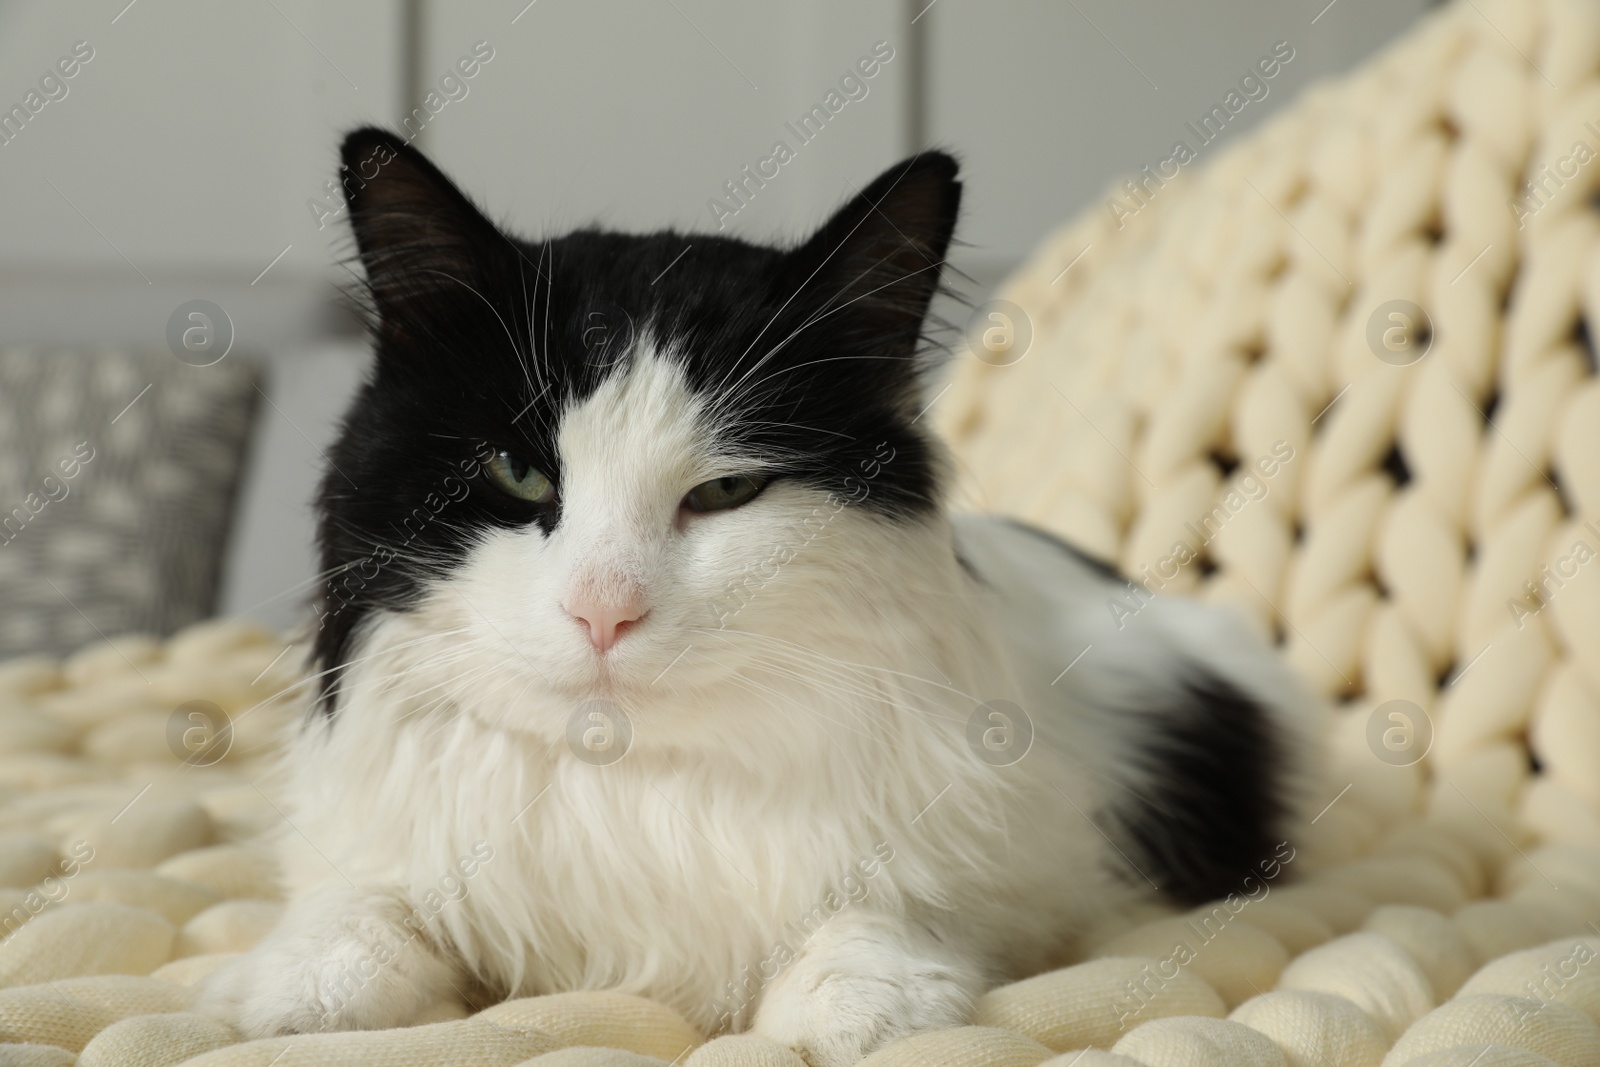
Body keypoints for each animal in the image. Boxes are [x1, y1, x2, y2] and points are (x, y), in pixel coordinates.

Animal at [200, 127, 1318, 1067]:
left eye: (727, 491)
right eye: (518, 475)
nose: (603, 610)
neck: (632, 790)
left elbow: (886, 910)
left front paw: (856, 999)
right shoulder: (370, 836)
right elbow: (354, 918)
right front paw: (299, 989)